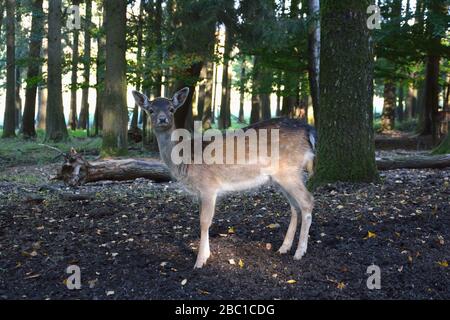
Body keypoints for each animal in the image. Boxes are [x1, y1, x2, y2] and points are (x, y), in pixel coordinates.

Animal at [132, 87, 316, 268]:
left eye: (171, 109)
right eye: (150, 110)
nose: (162, 119)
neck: (185, 160)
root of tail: (310, 131)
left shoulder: (208, 186)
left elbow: (204, 221)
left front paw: (200, 261)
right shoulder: (200, 192)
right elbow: (201, 219)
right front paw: (206, 254)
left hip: (289, 172)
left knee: (308, 200)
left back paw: (300, 252)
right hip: (281, 178)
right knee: (295, 206)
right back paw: (284, 248)